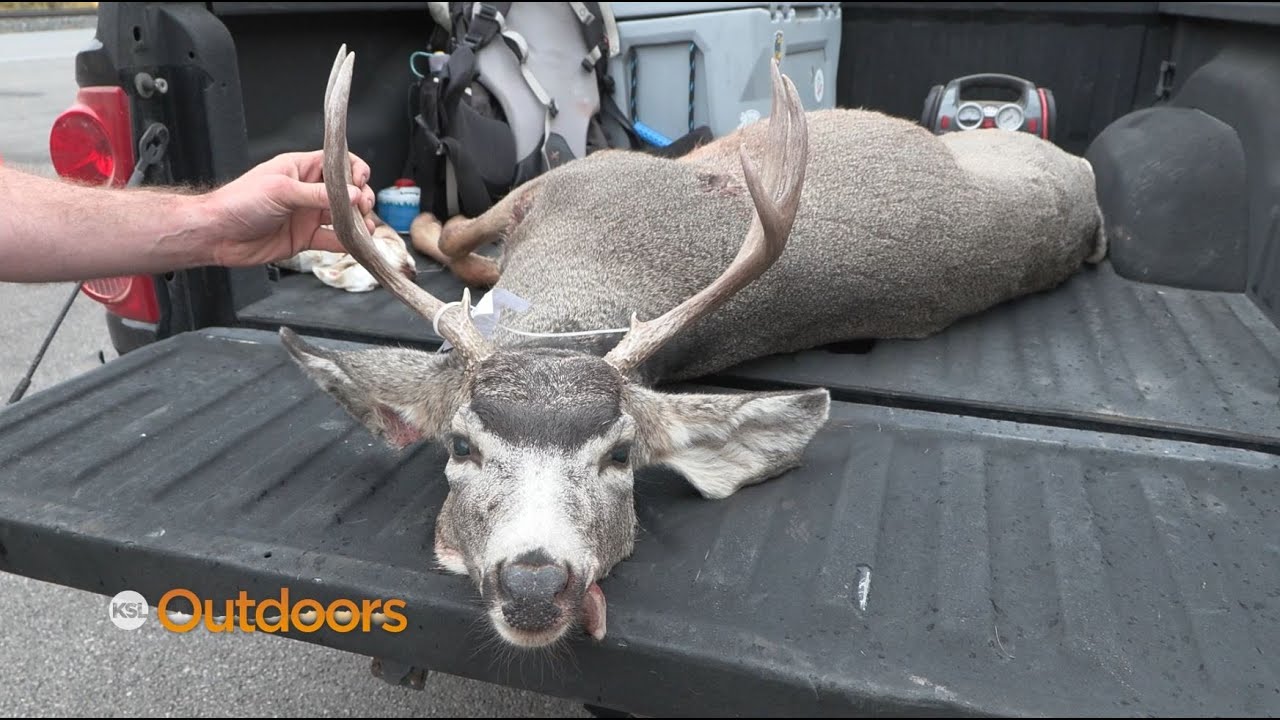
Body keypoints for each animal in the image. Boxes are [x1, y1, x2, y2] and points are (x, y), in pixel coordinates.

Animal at [279, 45, 1107, 650]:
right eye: (460, 445)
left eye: (620, 456)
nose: (535, 585)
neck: (579, 265)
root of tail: (1088, 202)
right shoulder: (560, 186)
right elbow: (452, 238)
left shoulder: (581, 172)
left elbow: (444, 228)